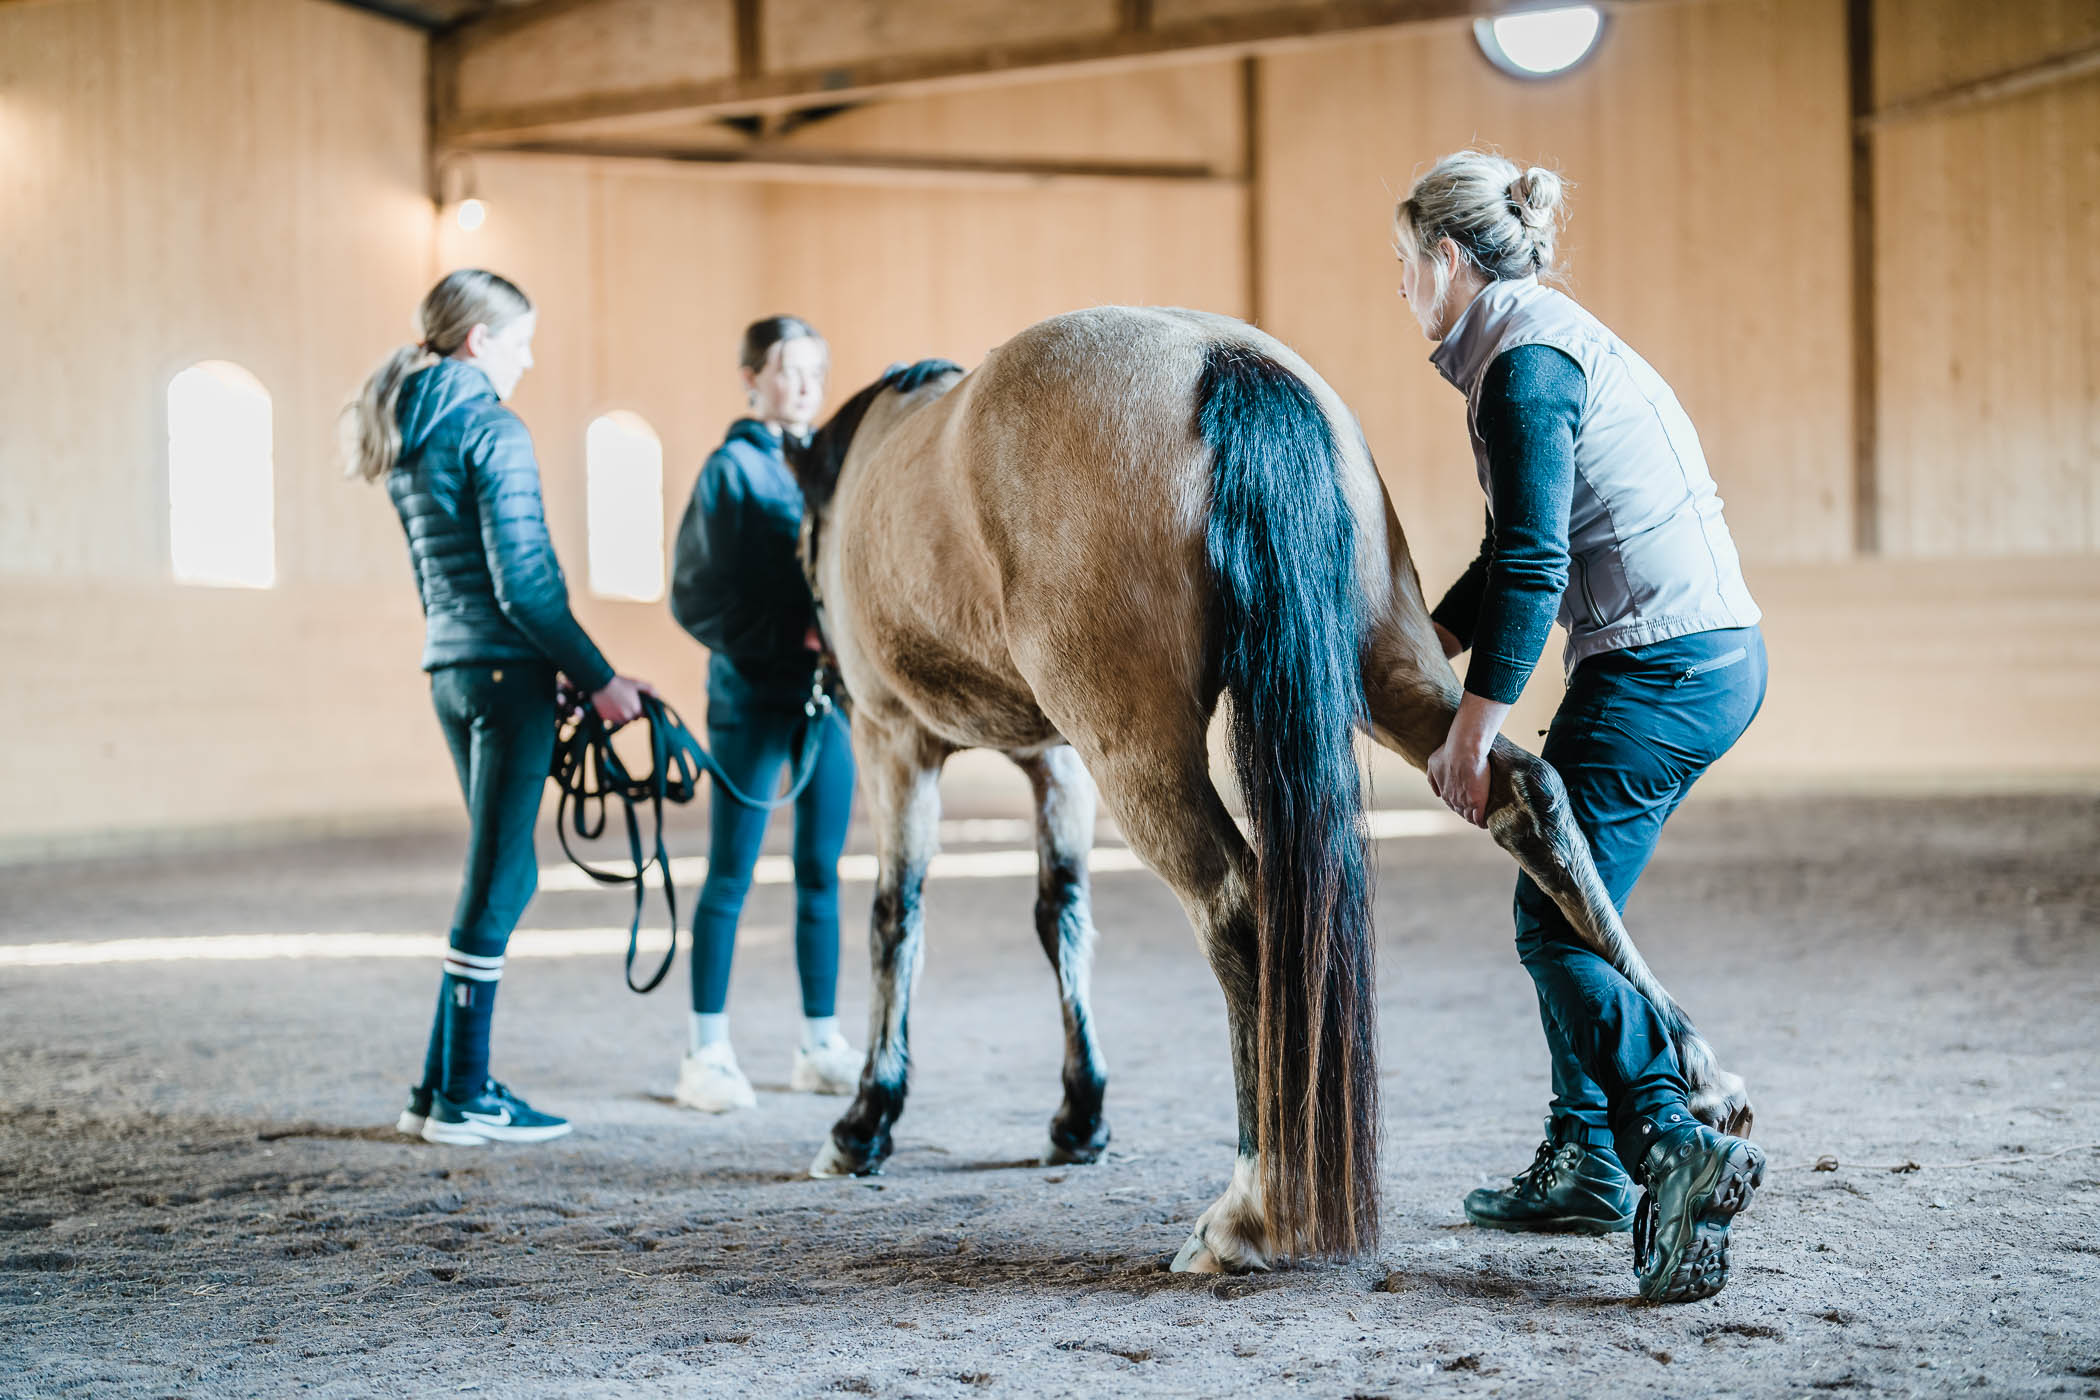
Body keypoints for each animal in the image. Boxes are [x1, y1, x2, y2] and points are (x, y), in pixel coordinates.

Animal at [783, 306, 1747, 1274]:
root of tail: (1226, 362)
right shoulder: (1053, 759)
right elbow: (1061, 916)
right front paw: (1078, 1114)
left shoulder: (896, 739)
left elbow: (896, 919)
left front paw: (865, 1122)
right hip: (1384, 667)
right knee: (1528, 796)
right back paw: (1699, 1079)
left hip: (1137, 750)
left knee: (1239, 907)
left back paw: (1250, 1211)